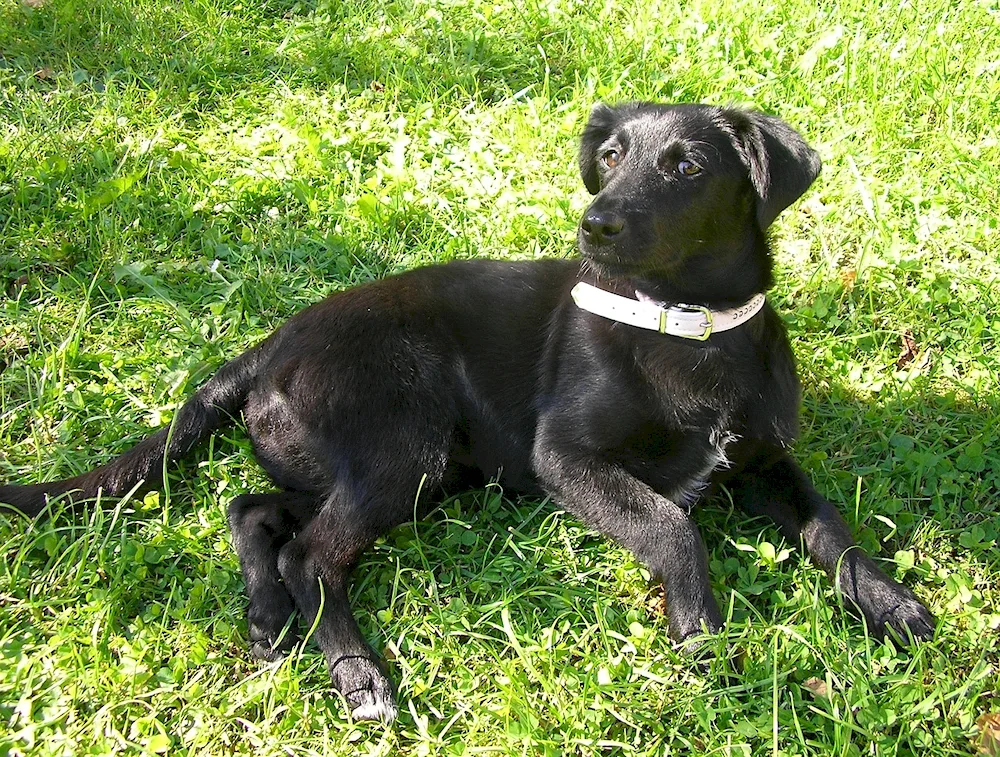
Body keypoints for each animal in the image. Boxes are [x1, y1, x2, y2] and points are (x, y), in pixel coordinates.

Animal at [3, 102, 932, 720]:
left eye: (686, 166)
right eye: (612, 156)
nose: (594, 224)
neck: (687, 329)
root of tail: (270, 342)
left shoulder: (768, 460)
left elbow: (832, 526)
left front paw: (889, 602)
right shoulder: (567, 457)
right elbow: (673, 524)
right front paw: (701, 636)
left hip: (405, 468)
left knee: (253, 507)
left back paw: (268, 618)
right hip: (404, 443)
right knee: (311, 553)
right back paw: (356, 673)